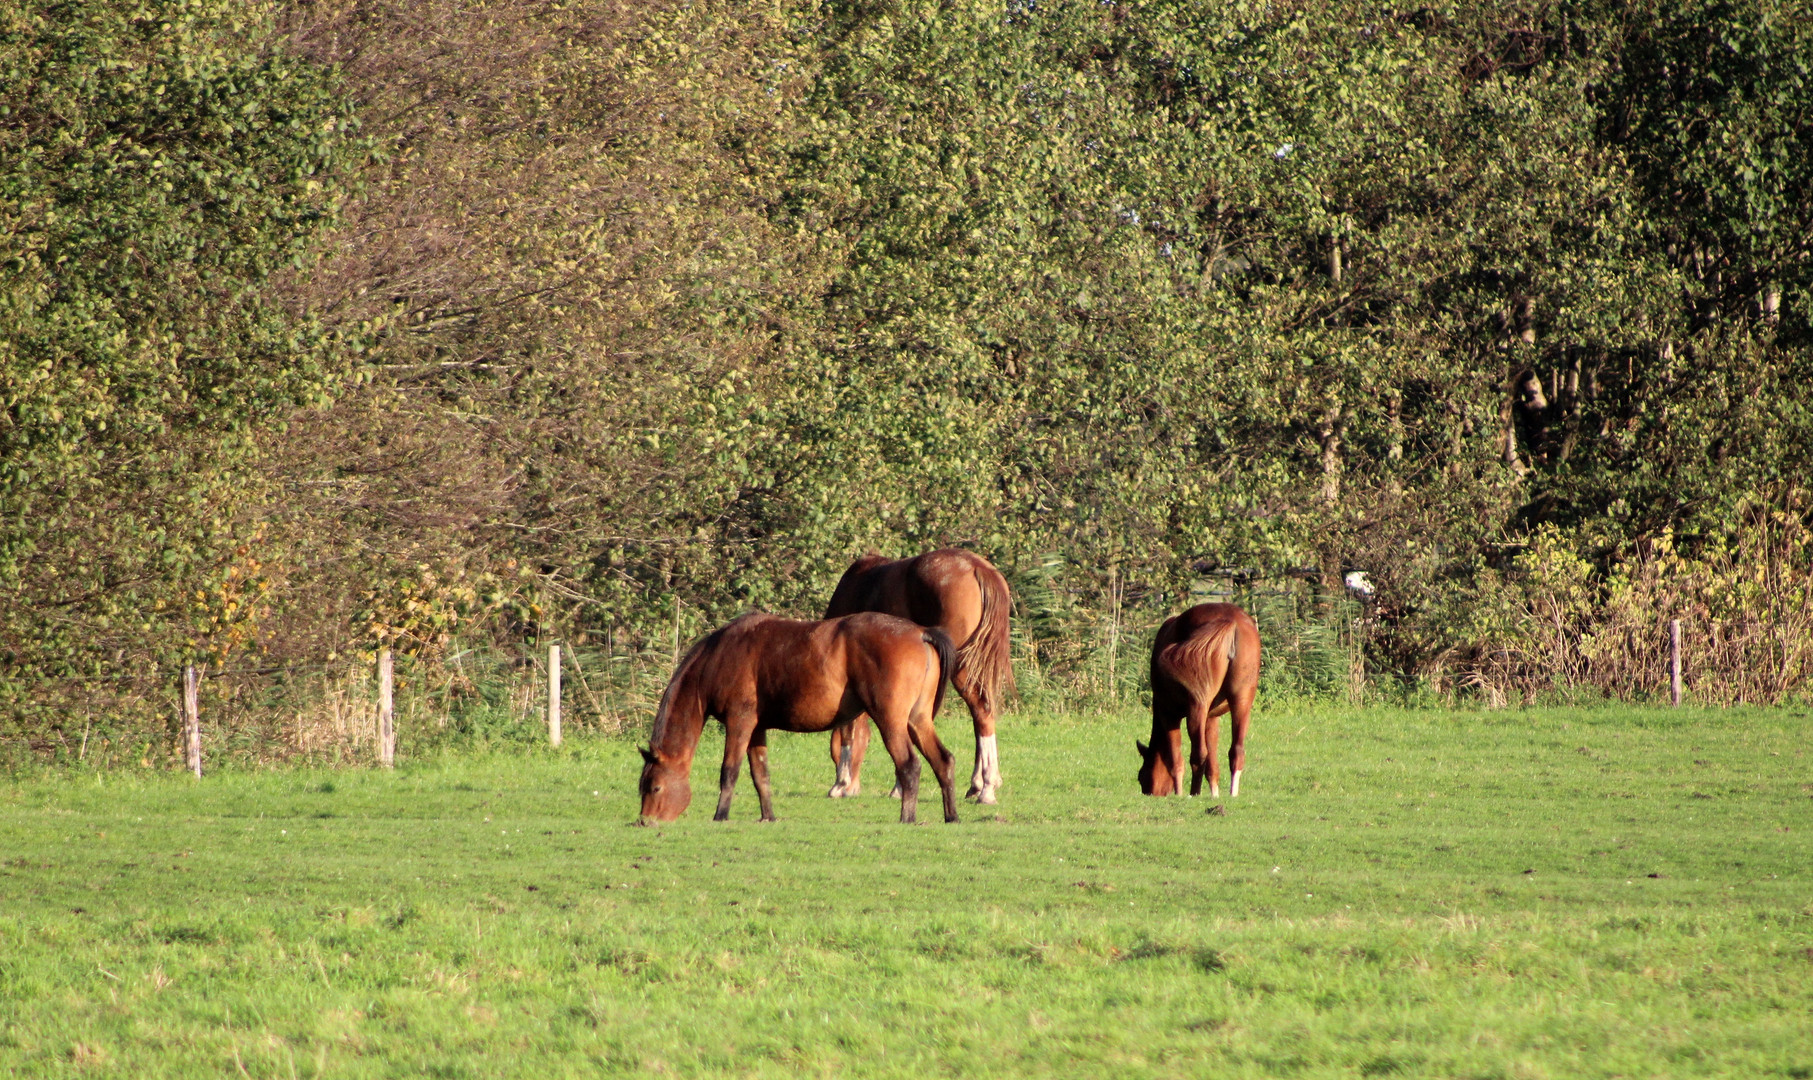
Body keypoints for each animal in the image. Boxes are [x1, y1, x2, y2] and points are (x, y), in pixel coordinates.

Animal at [638, 612, 964, 822]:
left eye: (655, 787)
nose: (644, 821)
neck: (719, 656)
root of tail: (921, 632)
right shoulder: (757, 728)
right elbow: (761, 774)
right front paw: (767, 816)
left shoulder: (739, 722)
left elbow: (729, 770)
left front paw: (720, 815)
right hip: (918, 720)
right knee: (943, 760)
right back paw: (951, 815)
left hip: (890, 721)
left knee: (909, 765)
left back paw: (907, 817)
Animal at [826, 547, 1022, 800]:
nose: (850, 787)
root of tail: (977, 567)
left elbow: (850, 728)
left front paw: (843, 783)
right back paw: (981, 783)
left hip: (960, 665)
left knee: (982, 710)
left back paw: (986, 788)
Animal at [1131, 601, 1261, 797]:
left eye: (1141, 775)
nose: (1149, 793)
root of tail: (1231, 622)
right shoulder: (1211, 719)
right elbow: (1213, 765)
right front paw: (1214, 794)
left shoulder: (1168, 714)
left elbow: (1176, 761)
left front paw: (1179, 793)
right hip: (1242, 700)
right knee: (1236, 752)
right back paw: (1232, 793)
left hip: (1196, 709)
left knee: (1198, 754)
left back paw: (1194, 794)